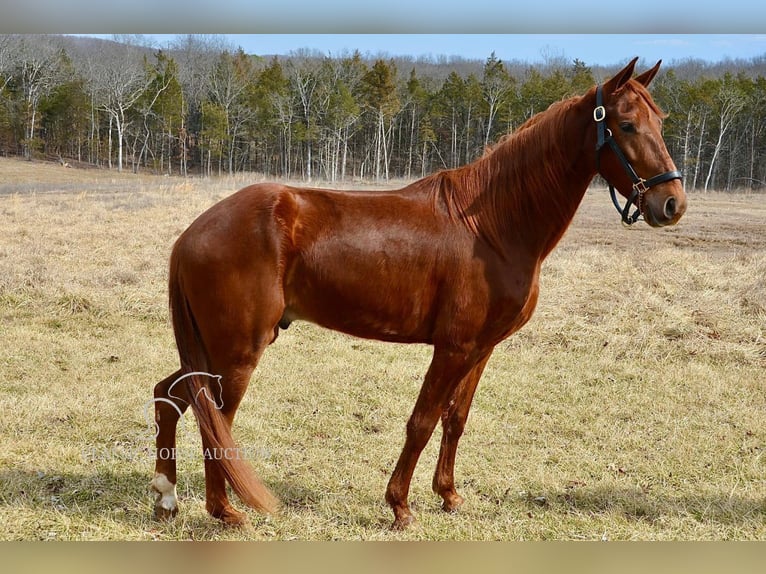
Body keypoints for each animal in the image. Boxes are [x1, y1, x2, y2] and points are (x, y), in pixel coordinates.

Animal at [150, 58, 688, 532]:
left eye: (659, 120)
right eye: (625, 125)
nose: (672, 203)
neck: (492, 224)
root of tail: (193, 232)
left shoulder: (480, 349)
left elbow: (456, 420)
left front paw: (448, 495)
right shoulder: (452, 347)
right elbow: (422, 421)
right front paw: (401, 507)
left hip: (213, 347)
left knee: (171, 396)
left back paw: (166, 497)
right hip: (238, 350)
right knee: (214, 418)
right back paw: (224, 511)